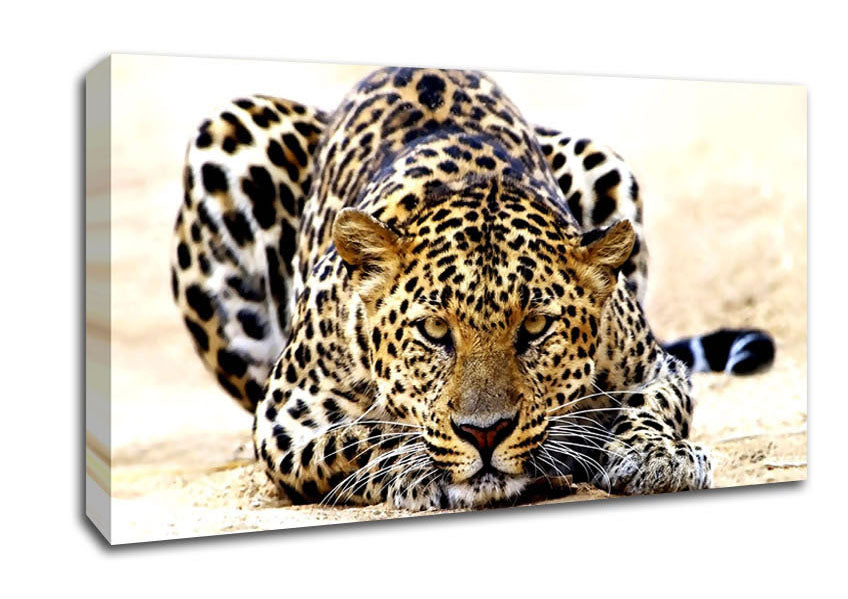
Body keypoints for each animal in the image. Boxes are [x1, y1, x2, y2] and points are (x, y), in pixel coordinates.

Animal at [171, 67, 775, 510]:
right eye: (435, 331)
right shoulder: (285, 420)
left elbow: (651, 405)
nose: (485, 434)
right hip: (229, 135)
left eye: (535, 327)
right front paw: (416, 468)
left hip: (599, 159)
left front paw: (657, 456)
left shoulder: (654, 366)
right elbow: (362, 437)